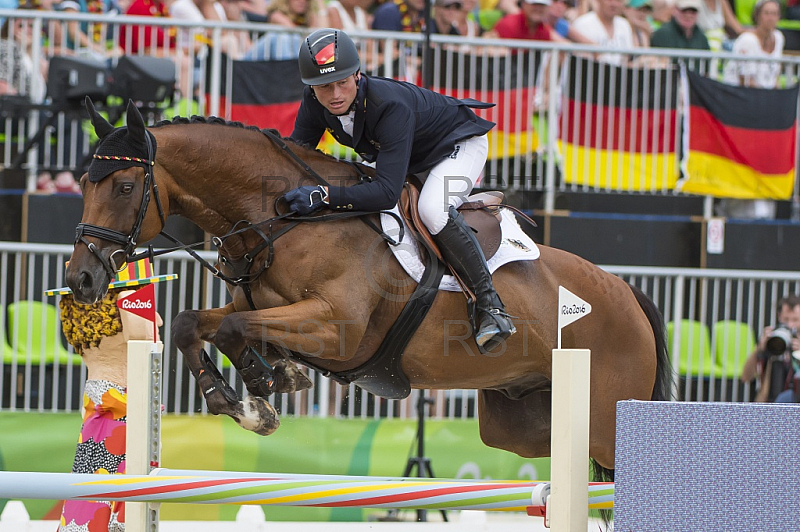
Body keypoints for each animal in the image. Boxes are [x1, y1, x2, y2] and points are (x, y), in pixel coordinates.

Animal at [65, 100, 672, 482]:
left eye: (124, 187)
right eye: (84, 183)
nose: (81, 279)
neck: (284, 219)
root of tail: (629, 294)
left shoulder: (338, 329)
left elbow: (238, 330)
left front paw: (265, 384)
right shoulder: (258, 307)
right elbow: (194, 322)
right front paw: (242, 401)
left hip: (604, 411)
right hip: (520, 420)